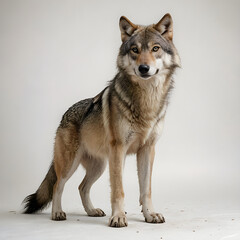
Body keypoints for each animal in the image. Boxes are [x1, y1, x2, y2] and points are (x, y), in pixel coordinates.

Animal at [23, 13, 180, 227]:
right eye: (135, 50)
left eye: (155, 48)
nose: (144, 68)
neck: (146, 101)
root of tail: (64, 115)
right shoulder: (119, 150)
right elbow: (118, 190)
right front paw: (119, 217)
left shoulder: (147, 150)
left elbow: (145, 190)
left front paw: (150, 215)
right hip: (71, 165)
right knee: (57, 185)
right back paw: (57, 213)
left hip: (100, 166)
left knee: (81, 187)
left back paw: (92, 211)